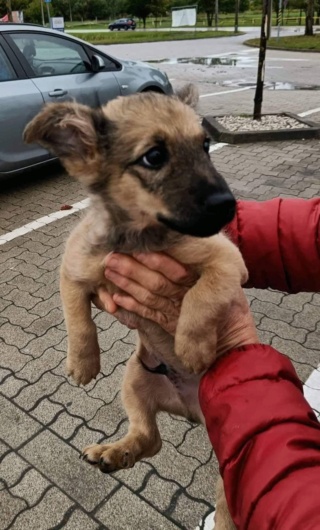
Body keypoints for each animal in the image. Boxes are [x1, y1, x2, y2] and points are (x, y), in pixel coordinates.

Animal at [24, 88, 248, 524]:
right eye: (154, 156)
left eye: (205, 145)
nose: (228, 206)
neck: (139, 236)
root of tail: (188, 409)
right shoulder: (73, 269)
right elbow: (78, 320)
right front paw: (84, 363)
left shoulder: (228, 260)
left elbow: (200, 296)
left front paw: (192, 348)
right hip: (134, 378)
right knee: (150, 438)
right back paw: (114, 452)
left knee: (226, 498)